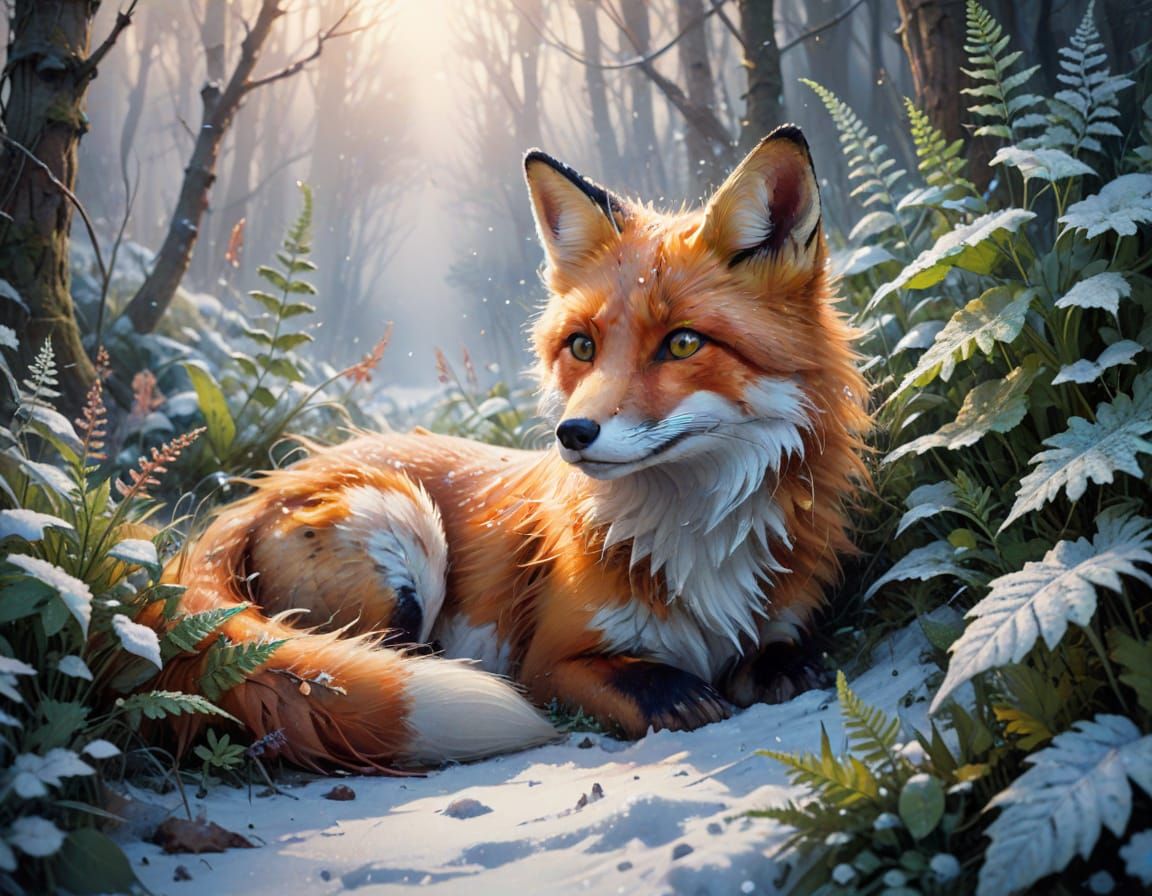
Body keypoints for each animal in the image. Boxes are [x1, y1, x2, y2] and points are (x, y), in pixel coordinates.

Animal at [147, 125, 870, 773]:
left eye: (684, 343)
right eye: (582, 346)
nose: (572, 434)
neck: (695, 545)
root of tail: (262, 488)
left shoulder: (785, 619)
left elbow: (792, 661)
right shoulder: (552, 660)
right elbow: (639, 684)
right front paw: (679, 695)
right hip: (403, 525)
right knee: (368, 658)